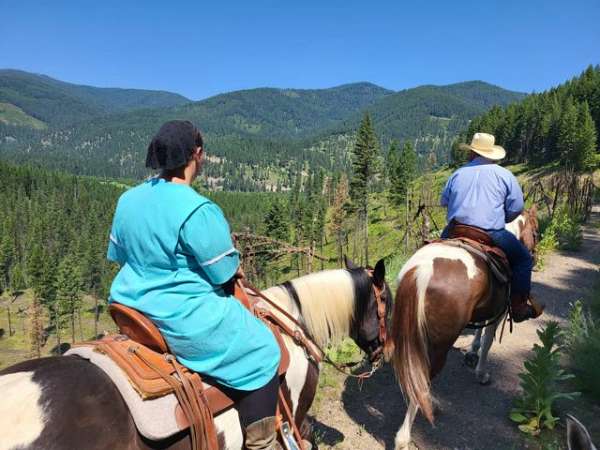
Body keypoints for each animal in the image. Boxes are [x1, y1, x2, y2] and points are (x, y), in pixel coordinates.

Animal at [390, 208, 540, 450]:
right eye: (536, 232)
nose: (533, 256)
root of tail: (422, 270)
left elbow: (479, 330)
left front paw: (471, 352)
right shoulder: (499, 313)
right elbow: (487, 342)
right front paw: (481, 373)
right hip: (439, 344)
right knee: (422, 378)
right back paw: (405, 436)